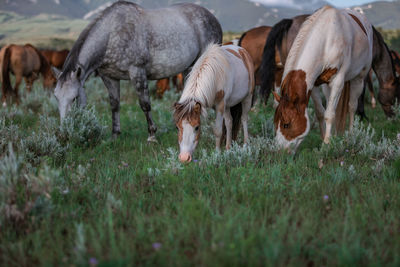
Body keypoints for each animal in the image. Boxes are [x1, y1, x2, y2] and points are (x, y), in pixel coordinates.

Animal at [52, 0, 222, 142]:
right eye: (56, 97)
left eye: (74, 98)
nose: (64, 133)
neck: (112, 35)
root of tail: (212, 17)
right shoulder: (109, 77)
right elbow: (115, 105)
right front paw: (114, 135)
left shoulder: (137, 72)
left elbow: (145, 104)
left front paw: (152, 135)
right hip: (190, 68)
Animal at [274, 5, 374, 153]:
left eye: (286, 124)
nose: (279, 152)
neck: (326, 39)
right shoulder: (313, 84)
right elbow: (320, 112)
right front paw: (324, 138)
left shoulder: (338, 82)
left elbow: (329, 114)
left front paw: (326, 145)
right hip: (327, 86)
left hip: (359, 78)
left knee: (352, 106)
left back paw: (351, 136)